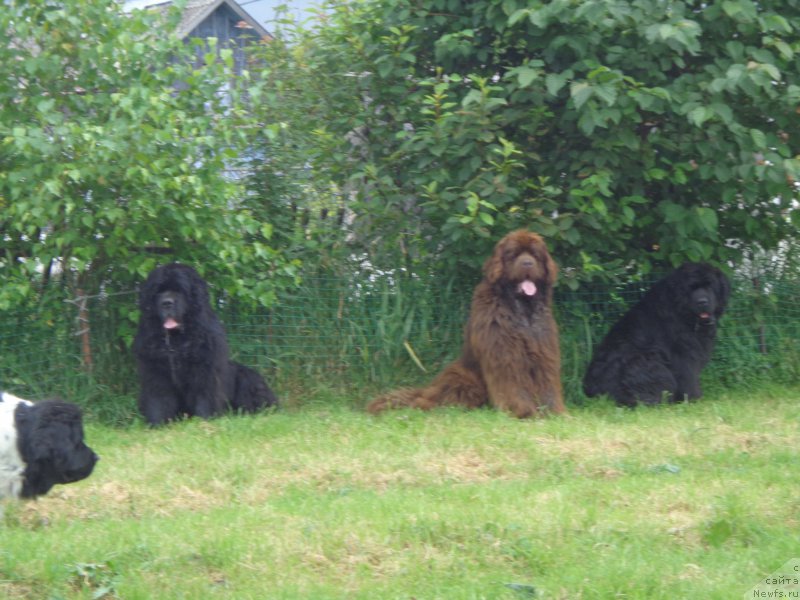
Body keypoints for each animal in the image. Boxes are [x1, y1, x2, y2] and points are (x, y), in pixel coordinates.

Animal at [134, 264, 278, 426]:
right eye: (158, 291)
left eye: (179, 290)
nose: (166, 303)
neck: (176, 340)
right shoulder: (155, 373)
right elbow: (158, 399)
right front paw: (157, 425)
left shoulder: (205, 370)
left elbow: (205, 396)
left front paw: (204, 421)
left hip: (248, 379)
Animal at [366, 230, 564, 418]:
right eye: (514, 255)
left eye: (535, 255)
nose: (528, 263)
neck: (521, 310)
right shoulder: (505, 356)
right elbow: (513, 387)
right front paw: (523, 412)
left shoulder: (543, 353)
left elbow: (547, 385)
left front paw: (554, 413)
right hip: (462, 377)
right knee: (430, 400)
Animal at [580, 262, 732, 408]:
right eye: (691, 288)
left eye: (710, 285)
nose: (702, 302)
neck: (682, 311)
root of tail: (593, 394)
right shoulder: (682, 353)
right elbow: (688, 376)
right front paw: (692, 399)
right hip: (645, 360)